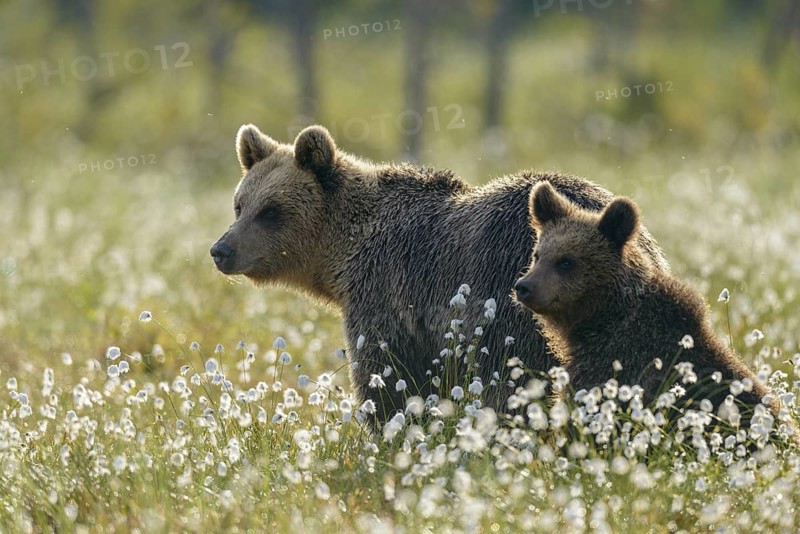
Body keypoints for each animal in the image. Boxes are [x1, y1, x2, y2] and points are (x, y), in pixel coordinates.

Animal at [210, 124, 670, 426]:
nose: (221, 250)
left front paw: (386, 427)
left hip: (512, 302)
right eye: (240, 204)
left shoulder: (386, 292)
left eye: (271, 211)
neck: (342, 255)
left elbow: (386, 372)